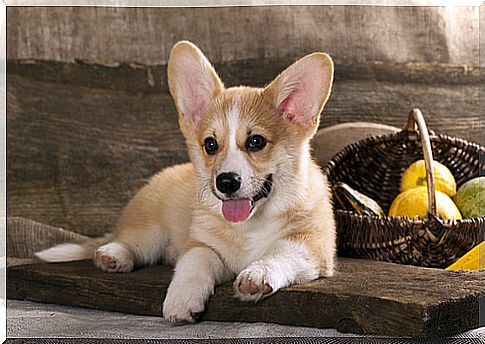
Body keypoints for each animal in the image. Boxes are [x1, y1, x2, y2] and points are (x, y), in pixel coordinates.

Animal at [36, 41, 334, 326]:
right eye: (210, 144)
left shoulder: (312, 246)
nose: (226, 182)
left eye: (256, 141)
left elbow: (279, 252)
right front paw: (181, 300)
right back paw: (113, 255)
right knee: (131, 243)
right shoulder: (200, 243)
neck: (247, 227)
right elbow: (195, 262)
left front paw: (257, 275)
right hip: (150, 233)